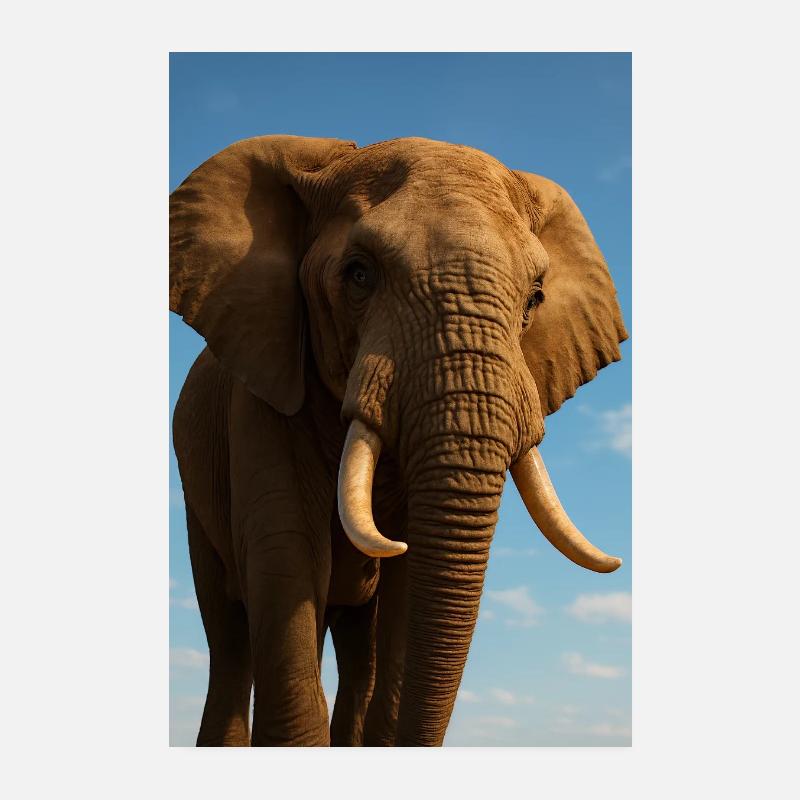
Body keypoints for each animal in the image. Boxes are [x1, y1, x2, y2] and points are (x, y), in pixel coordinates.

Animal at [170, 134, 627, 747]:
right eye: (358, 275)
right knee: (231, 641)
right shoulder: (261, 390)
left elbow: (407, 589)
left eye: (534, 298)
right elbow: (286, 559)